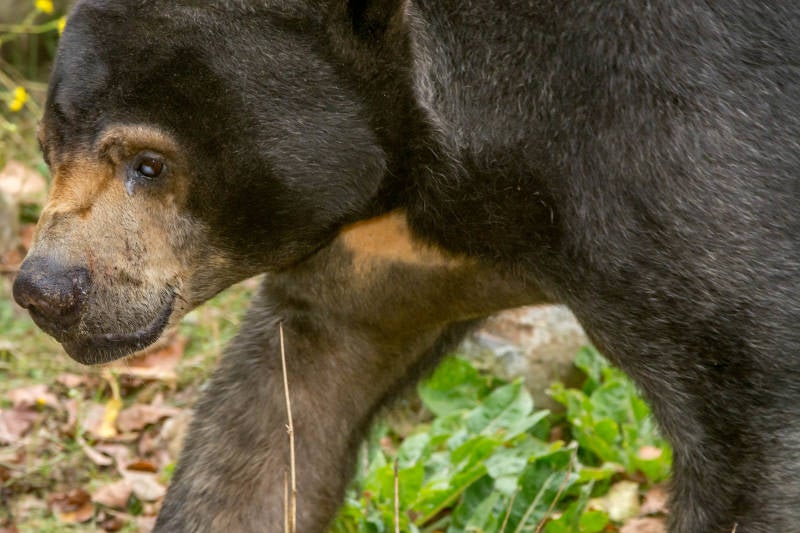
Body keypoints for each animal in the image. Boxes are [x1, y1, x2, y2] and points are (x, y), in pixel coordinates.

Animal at [11, 0, 800, 531]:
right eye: (49, 150)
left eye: (148, 163)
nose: (46, 289)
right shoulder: (386, 252)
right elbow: (279, 415)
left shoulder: (679, 144)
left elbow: (749, 414)